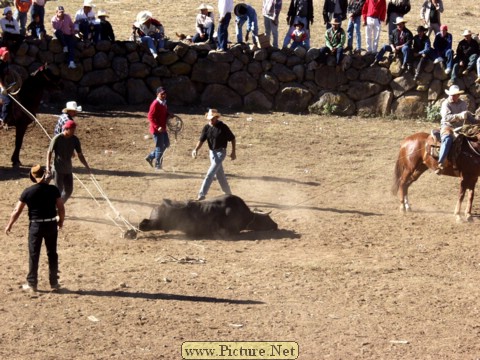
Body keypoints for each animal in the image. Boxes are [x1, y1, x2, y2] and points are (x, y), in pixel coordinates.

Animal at [127, 194, 278, 239]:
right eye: (267, 218)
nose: (276, 225)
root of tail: (161, 205)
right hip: (157, 222)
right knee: (143, 224)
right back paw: (129, 233)